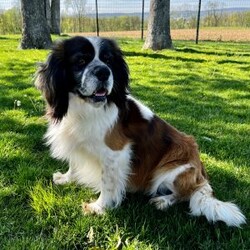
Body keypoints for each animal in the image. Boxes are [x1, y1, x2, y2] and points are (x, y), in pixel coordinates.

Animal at [34, 36, 245, 227]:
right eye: (81, 61)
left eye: (109, 61)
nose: (103, 72)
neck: (84, 107)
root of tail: (201, 172)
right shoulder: (77, 142)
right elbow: (74, 163)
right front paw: (66, 178)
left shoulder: (115, 153)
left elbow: (107, 183)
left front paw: (99, 207)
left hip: (172, 170)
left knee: (186, 193)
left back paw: (163, 201)